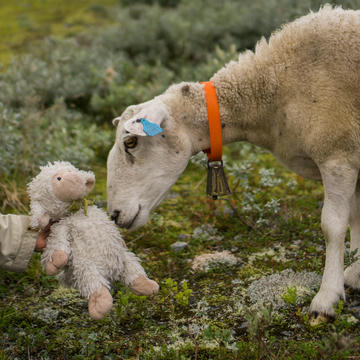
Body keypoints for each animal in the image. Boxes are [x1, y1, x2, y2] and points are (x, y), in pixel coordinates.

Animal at [107, 4, 360, 320]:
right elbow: (357, 217)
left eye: (130, 143)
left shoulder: (337, 156)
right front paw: (357, 274)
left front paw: (326, 299)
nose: (114, 214)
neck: (276, 86)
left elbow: (332, 225)